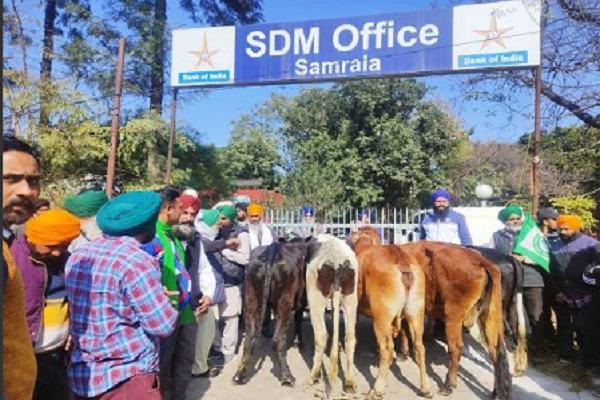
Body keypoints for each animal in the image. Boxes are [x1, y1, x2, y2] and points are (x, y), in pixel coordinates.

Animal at [352, 227, 432, 398]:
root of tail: (400, 258)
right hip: (416, 313)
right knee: (420, 347)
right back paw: (426, 388)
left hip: (381, 318)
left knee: (387, 349)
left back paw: (377, 388)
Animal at [398, 241, 510, 400]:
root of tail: (481, 261)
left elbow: (403, 330)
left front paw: (403, 353)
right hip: (490, 315)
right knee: (497, 352)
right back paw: (496, 392)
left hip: (453, 315)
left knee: (455, 348)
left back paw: (448, 385)